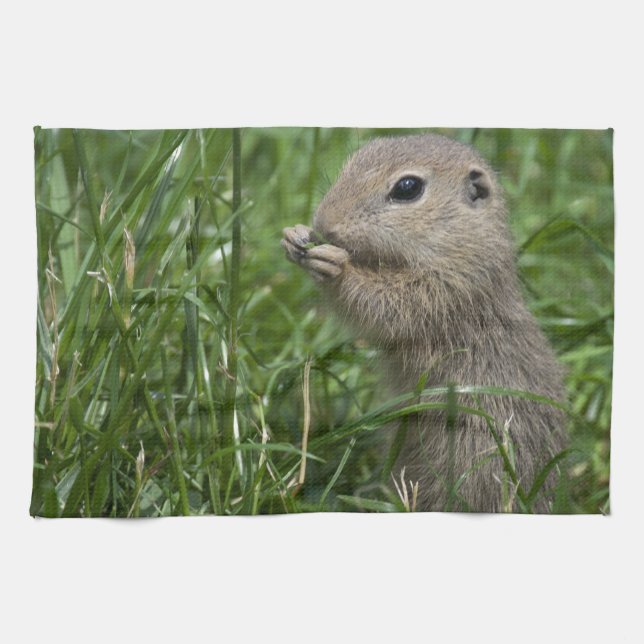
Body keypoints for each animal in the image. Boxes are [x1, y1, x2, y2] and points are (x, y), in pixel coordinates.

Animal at [281, 133, 567, 513]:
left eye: (407, 188)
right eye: (354, 159)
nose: (324, 223)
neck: (460, 242)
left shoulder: (448, 288)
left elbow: (387, 305)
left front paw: (336, 266)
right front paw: (293, 236)